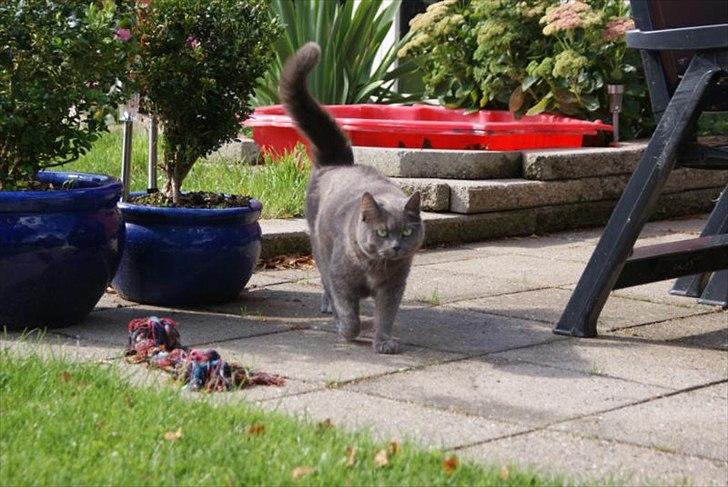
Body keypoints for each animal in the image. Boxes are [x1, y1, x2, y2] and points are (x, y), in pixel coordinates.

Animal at [280, 43, 426, 354]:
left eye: (407, 232)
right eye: (381, 232)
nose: (396, 247)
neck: (376, 267)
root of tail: (338, 163)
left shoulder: (393, 287)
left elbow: (385, 315)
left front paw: (383, 342)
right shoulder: (341, 279)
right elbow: (348, 312)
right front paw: (346, 330)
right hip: (319, 246)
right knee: (324, 281)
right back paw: (329, 308)